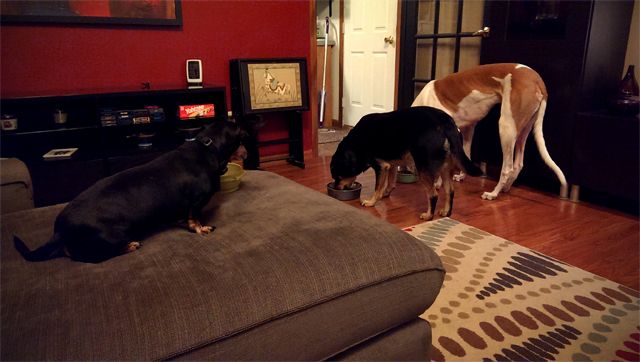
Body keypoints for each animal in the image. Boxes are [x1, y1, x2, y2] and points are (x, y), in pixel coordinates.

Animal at [13, 121, 248, 264]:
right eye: (241, 137)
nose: (245, 154)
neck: (208, 148)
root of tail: (59, 229)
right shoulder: (196, 202)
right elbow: (194, 219)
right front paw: (201, 228)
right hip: (114, 235)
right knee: (91, 258)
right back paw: (130, 246)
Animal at [330, 106, 480, 221]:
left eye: (338, 176)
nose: (336, 188)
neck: (356, 143)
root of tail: (446, 122)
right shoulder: (391, 164)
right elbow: (390, 183)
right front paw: (385, 193)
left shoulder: (381, 166)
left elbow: (377, 188)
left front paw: (371, 202)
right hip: (445, 167)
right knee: (450, 191)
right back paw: (446, 212)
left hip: (423, 167)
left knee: (433, 194)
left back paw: (428, 216)